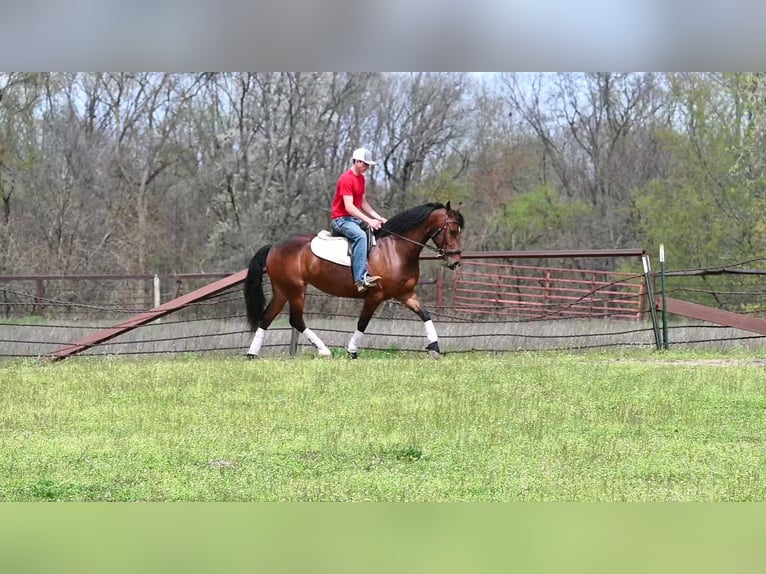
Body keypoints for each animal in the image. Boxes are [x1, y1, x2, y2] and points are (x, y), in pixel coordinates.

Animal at [243, 200, 464, 358]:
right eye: (453, 231)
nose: (455, 262)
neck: (396, 248)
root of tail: (274, 246)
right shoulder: (375, 296)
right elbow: (362, 323)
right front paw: (352, 351)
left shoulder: (405, 294)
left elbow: (425, 314)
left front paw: (434, 347)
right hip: (296, 290)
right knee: (295, 319)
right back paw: (324, 350)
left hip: (283, 290)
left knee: (267, 318)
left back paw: (252, 354)